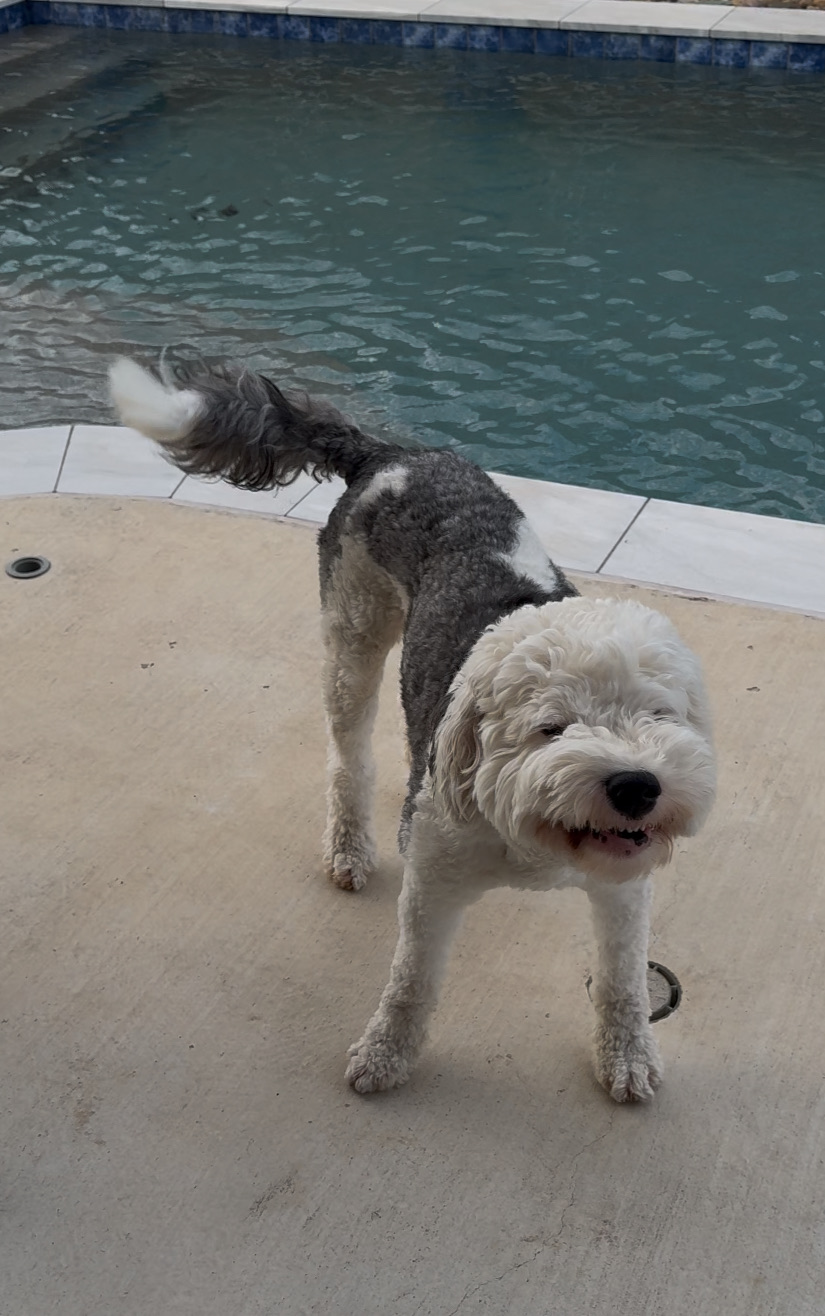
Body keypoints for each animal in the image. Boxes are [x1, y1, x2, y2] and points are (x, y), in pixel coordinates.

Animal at [110, 357, 716, 1103]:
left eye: (657, 716)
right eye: (551, 727)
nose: (637, 786)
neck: (535, 836)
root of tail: (387, 454)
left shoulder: (622, 890)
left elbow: (624, 982)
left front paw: (627, 1058)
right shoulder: (433, 881)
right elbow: (412, 982)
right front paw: (384, 1056)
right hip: (353, 641)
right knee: (349, 757)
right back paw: (349, 848)